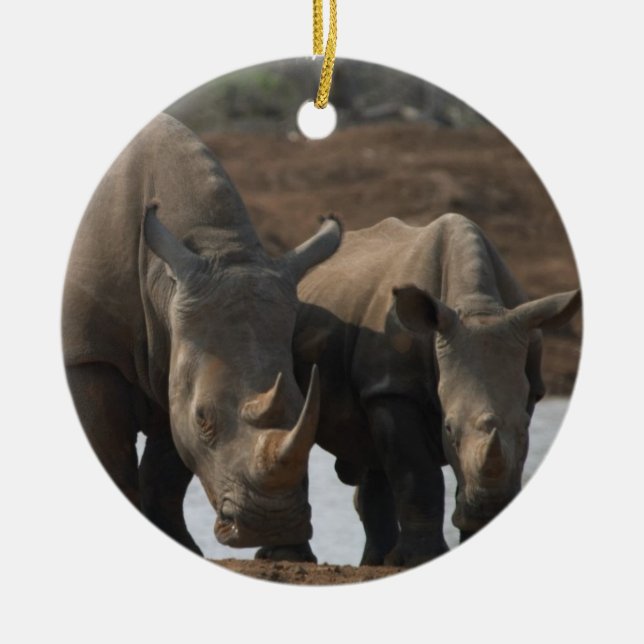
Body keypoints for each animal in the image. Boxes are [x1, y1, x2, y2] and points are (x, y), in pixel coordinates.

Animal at [62, 113, 341, 560]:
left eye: (305, 407)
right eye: (204, 418)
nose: (271, 524)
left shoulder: (174, 349)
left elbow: (167, 469)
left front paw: (182, 545)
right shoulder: (90, 354)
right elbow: (114, 454)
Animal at [293, 213, 580, 567]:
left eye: (526, 430)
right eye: (448, 429)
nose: (489, 509)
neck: (478, 306)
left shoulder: (529, 387)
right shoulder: (394, 386)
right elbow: (417, 474)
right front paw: (420, 557)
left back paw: (376, 562)